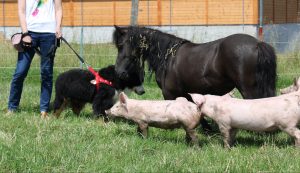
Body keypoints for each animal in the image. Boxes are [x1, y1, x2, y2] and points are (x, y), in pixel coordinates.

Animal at [112, 26, 276, 130]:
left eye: (121, 45)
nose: (118, 71)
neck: (168, 57)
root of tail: (257, 44)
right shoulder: (188, 93)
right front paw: (208, 129)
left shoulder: (169, 93)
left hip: (248, 89)